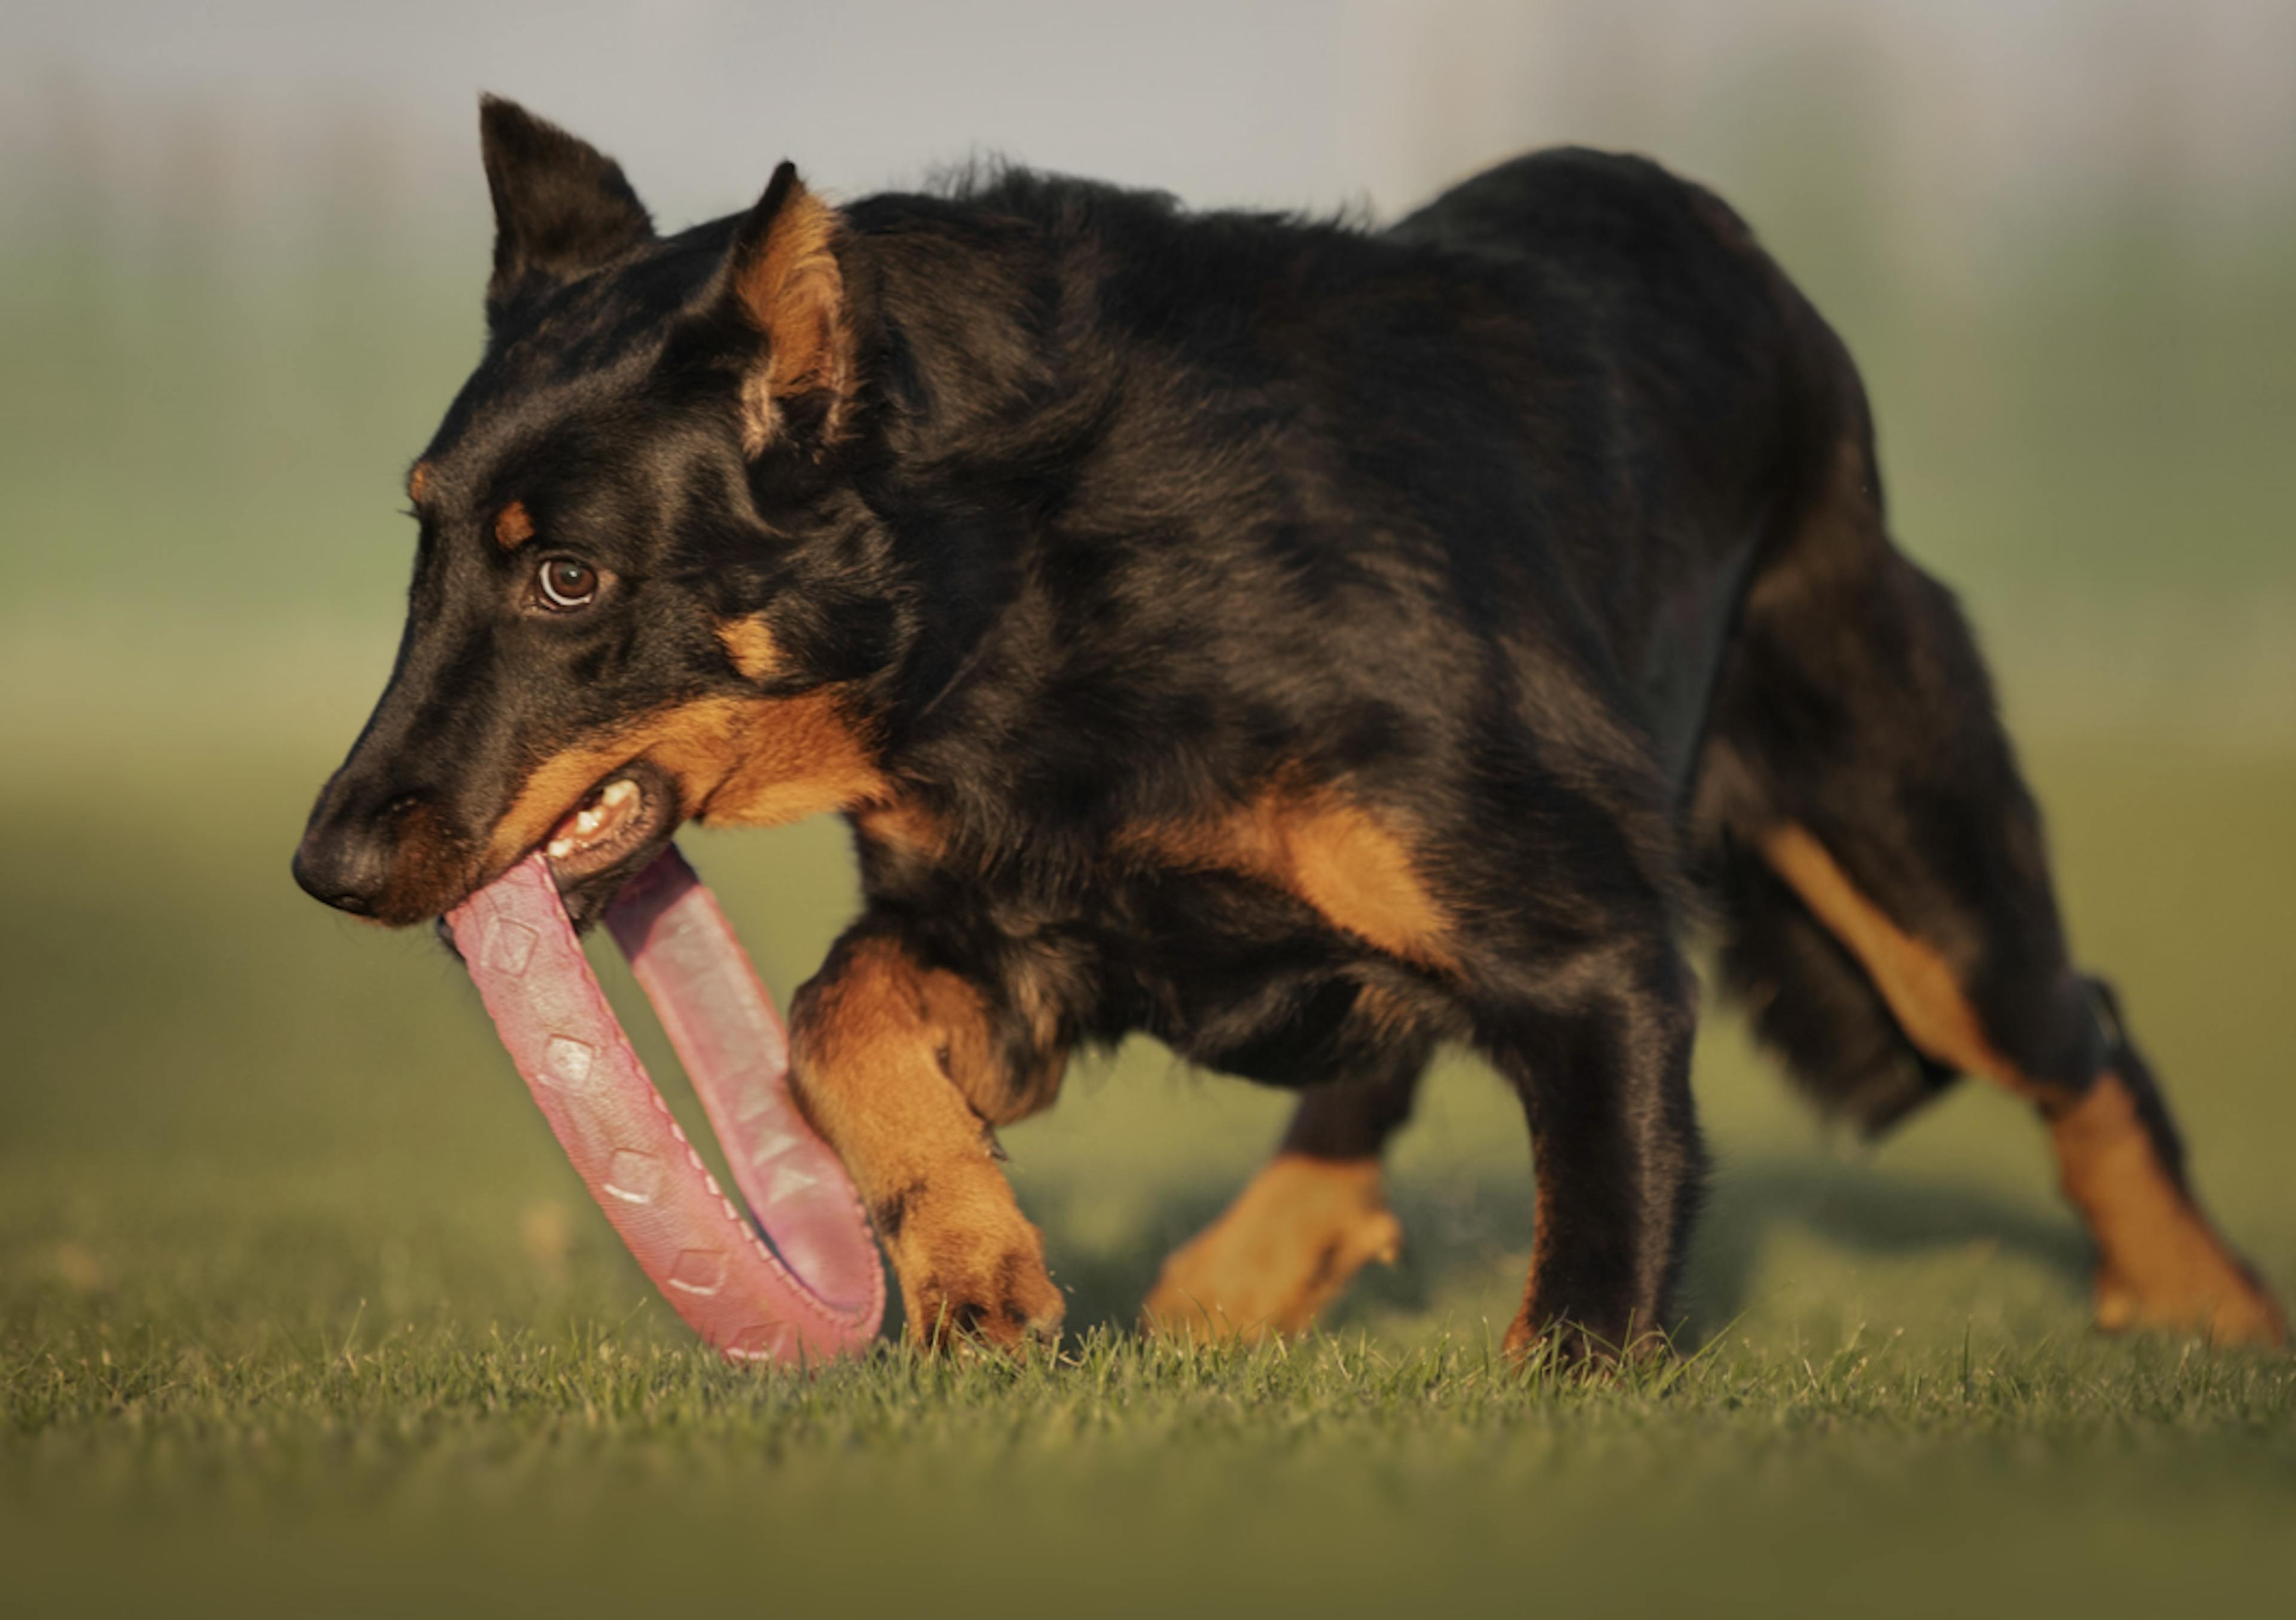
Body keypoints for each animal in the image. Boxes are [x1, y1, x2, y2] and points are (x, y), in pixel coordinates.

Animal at [296, 100, 2286, 1358]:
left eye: (568, 580)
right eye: (421, 533)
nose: (323, 862)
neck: (1021, 587)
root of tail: (1743, 253)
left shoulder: (1592, 954)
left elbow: (1596, 1261)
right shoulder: (1011, 949)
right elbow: (834, 1020)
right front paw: (974, 1268)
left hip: (1903, 847)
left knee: (2076, 1032)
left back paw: (2205, 1308)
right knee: (1376, 1051)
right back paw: (1252, 1267)